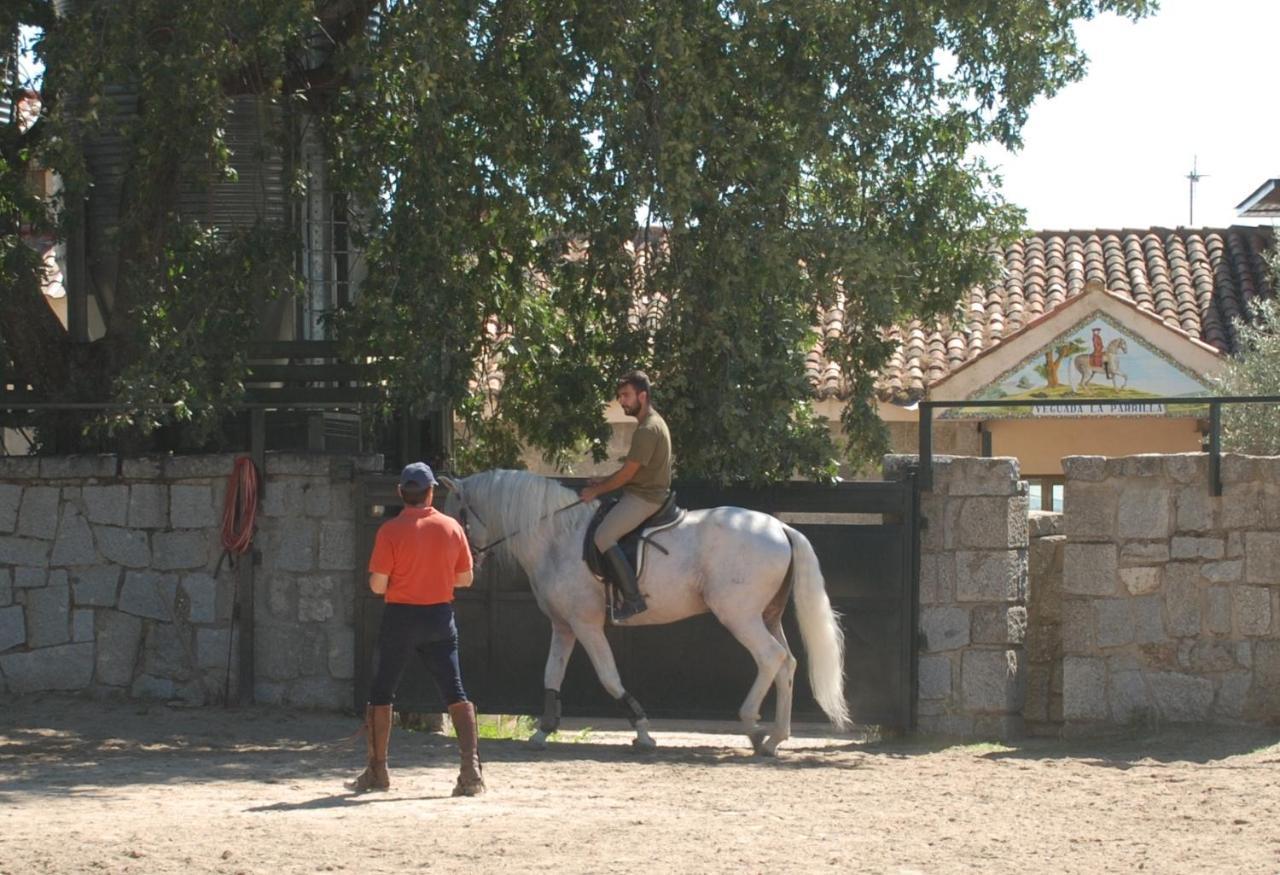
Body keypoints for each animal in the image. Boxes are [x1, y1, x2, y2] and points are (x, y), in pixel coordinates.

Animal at [440, 468, 849, 757]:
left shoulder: (586, 626)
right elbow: (551, 675)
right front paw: (543, 730)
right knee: (787, 663)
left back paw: (752, 725)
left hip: (740, 615)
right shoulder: (563, 626)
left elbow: (610, 677)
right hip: (767, 616)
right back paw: (775, 737)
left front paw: (643, 732)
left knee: (770, 658)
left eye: (455, 514)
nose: (463, 566)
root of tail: (779, 527)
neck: (556, 536)